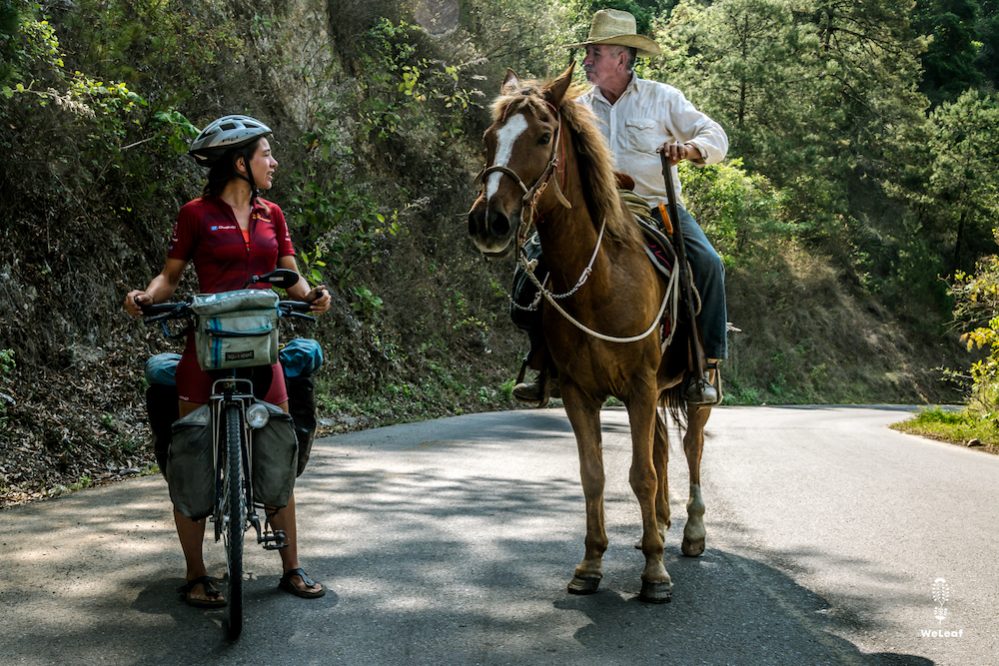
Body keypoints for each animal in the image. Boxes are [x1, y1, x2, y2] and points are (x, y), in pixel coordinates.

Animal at [466, 63, 712, 600]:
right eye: (490, 138)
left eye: (543, 137)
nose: (489, 222)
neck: (599, 278)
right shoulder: (582, 392)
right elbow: (594, 474)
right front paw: (591, 564)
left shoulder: (639, 386)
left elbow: (640, 475)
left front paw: (655, 573)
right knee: (662, 446)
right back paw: (660, 525)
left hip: (696, 385)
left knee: (691, 446)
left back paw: (691, 532)